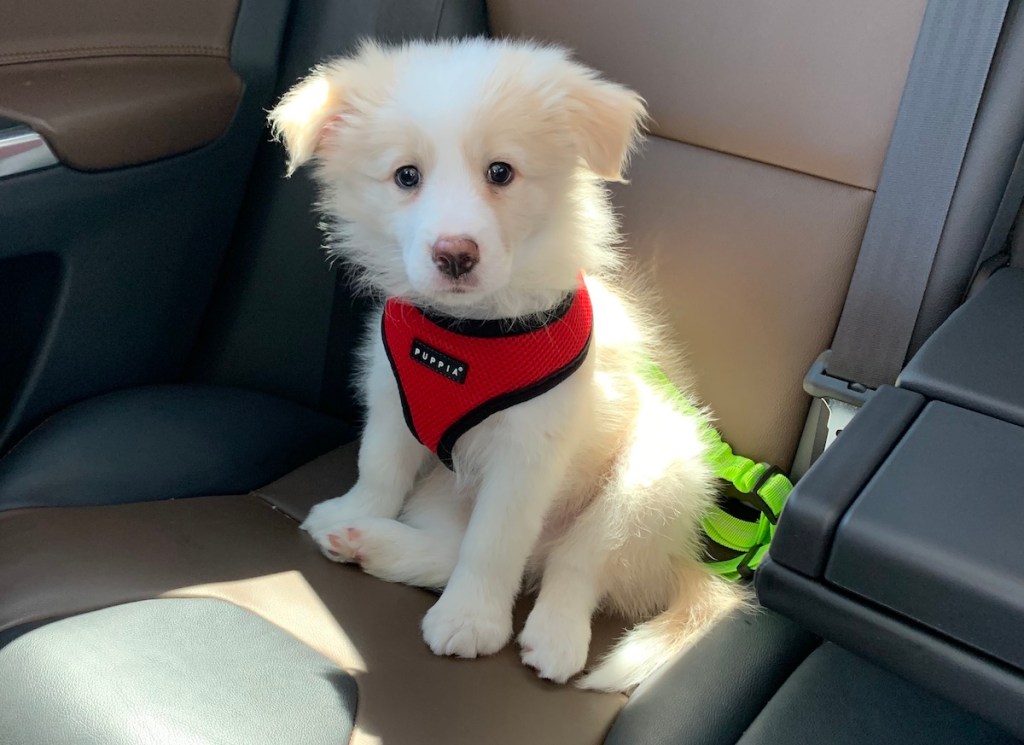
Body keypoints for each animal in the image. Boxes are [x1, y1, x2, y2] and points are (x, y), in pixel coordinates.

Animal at [268, 37, 741, 687]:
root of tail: (671, 557)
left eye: (501, 172)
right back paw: (366, 539)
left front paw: (472, 621)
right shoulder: (393, 399)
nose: (455, 254)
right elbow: (379, 468)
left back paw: (556, 635)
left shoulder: (529, 450)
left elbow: (493, 544)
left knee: (575, 562)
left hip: (657, 473)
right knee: (460, 550)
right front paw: (356, 510)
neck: (468, 334)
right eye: (406, 176)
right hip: (446, 490)